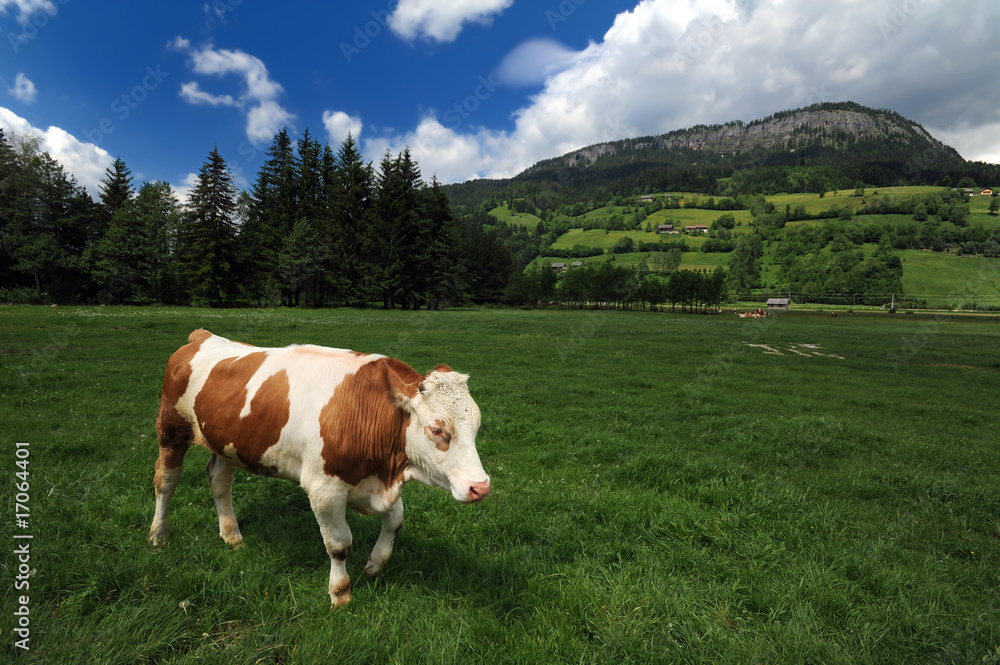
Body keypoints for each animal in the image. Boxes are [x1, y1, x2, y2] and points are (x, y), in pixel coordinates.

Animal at [148, 330, 488, 604]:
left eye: (477, 426)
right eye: (437, 429)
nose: (480, 487)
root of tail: (202, 336)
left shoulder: (376, 483)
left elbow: (395, 522)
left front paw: (375, 565)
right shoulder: (324, 489)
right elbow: (339, 544)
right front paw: (340, 593)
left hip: (228, 444)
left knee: (219, 482)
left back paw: (231, 535)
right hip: (171, 430)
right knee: (166, 482)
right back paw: (158, 535)